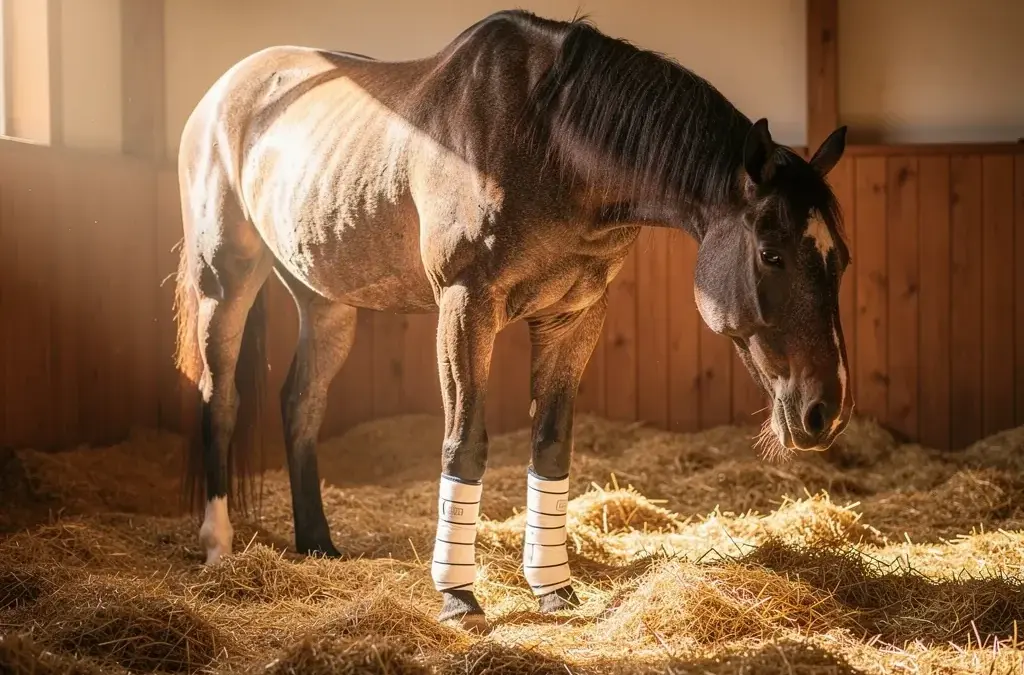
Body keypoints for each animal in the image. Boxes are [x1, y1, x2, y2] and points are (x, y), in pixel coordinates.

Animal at [172, 9, 852, 630]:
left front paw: (552, 587)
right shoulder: (465, 305)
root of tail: (219, 94)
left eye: (840, 258)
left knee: (300, 402)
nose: (826, 411)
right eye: (771, 254)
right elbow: (464, 443)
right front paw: (457, 596)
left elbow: (550, 446)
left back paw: (317, 544)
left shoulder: (573, 317)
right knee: (220, 397)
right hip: (224, 281)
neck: (548, 142)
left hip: (325, 301)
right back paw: (218, 546)